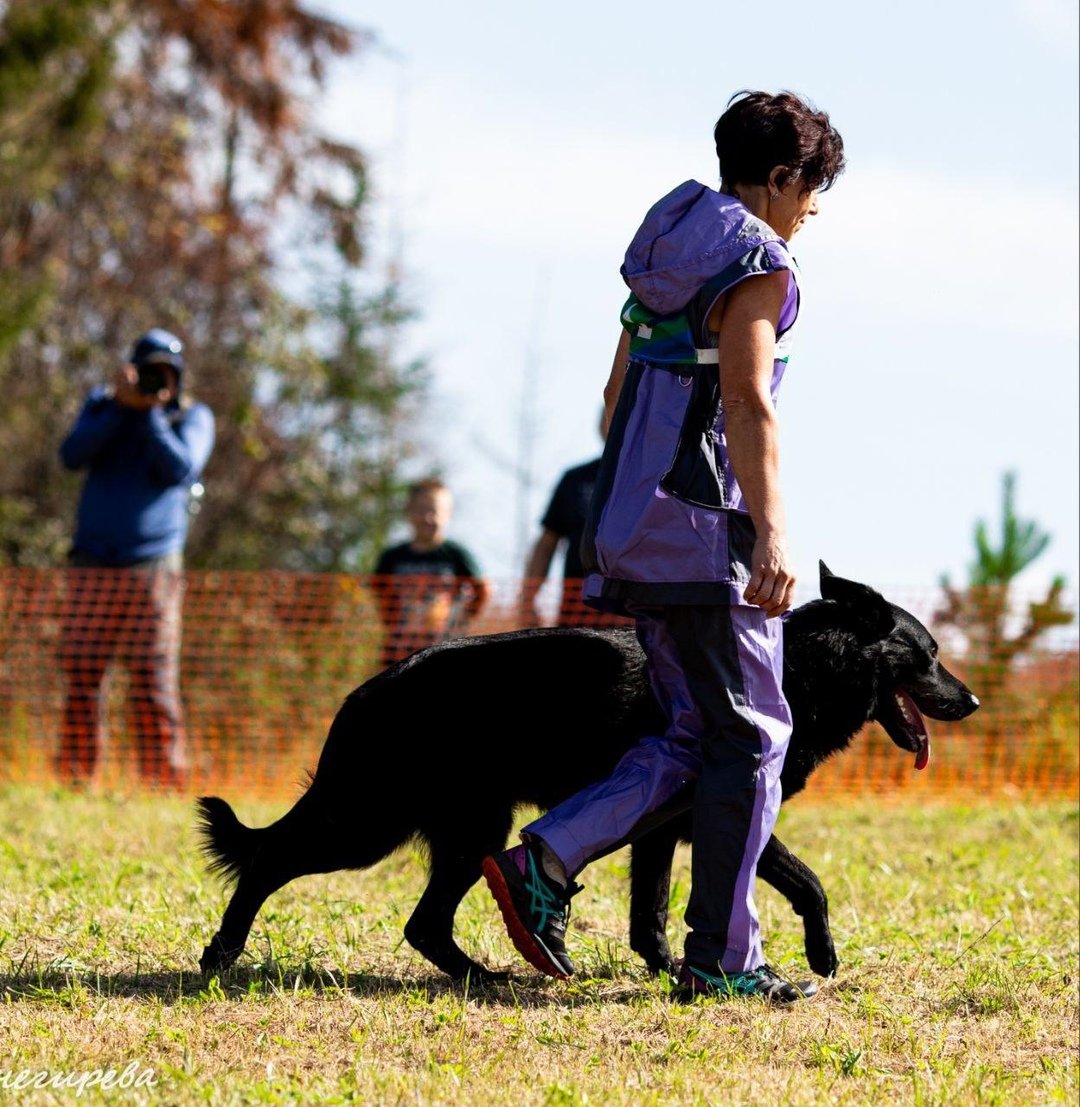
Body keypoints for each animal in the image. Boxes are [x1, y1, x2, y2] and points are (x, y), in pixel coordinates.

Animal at [195, 566, 978, 983]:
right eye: (930, 653)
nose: (972, 701)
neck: (801, 667)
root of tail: (366, 692)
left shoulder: (661, 831)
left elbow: (650, 913)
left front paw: (669, 970)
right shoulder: (723, 811)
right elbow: (809, 882)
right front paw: (820, 953)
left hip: (467, 832)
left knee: (423, 924)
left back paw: (484, 975)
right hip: (373, 825)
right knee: (268, 860)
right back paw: (221, 951)